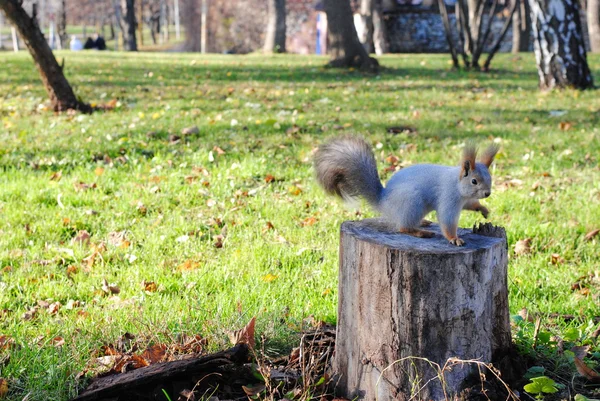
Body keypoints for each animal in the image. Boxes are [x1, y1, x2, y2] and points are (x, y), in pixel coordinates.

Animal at [312, 136, 500, 245]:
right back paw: (420, 232)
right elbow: (447, 221)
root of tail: (383, 201)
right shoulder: (448, 198)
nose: (487, 193)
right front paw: (454, 239)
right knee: (402, 228)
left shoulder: (464, 199)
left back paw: (422, 223)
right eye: (474, 181)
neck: (456, 184)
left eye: (490, 178)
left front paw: (483, 209)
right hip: (412, 203)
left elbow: (471, 204)